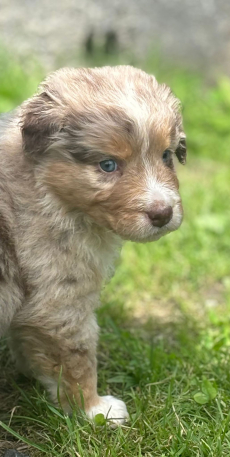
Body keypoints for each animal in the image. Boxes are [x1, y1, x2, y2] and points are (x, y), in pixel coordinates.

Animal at [0, 65, 185, 424]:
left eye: (166, 156)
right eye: (108, 165)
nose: (162, 213)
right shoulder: (60, 298)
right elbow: (77, 357)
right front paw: (94, 409)